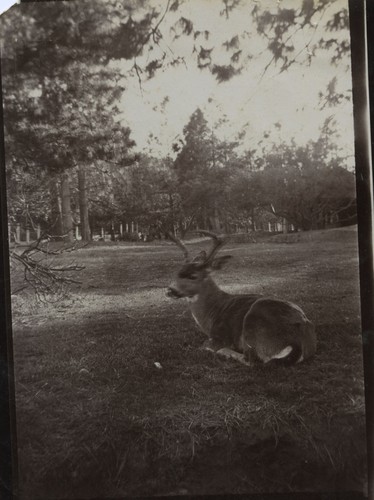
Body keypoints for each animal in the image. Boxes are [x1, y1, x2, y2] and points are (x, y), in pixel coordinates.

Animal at [167, 231, 316, 368]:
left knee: (252, 360)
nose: (170, 290)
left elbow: (204, 345)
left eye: (193, 276)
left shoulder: (220, 336)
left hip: (253, 324)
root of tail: (297, 342)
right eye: (177, 272)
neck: (213, 312)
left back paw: (225, 352)